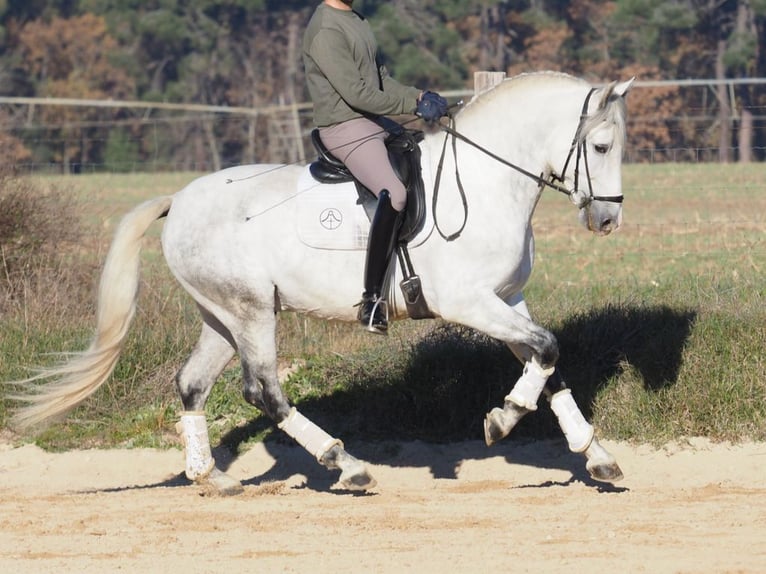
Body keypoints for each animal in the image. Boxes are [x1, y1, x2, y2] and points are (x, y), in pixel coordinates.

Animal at [10, 72, 636, 496]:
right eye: (601, 146)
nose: (608, 221)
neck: (484, 181)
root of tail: (180, 200)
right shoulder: (469, 302)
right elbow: (547, 350)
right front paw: (503, 418)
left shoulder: (506, 299)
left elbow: (548, 362)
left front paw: (596, 457)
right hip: (251, 313)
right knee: (263, 390)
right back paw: (346, 464)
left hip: (223, 316)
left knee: (192, 385)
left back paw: (212, 478)